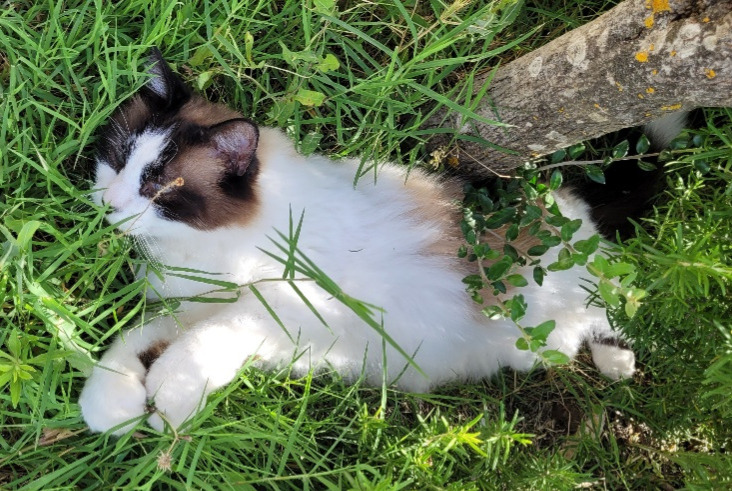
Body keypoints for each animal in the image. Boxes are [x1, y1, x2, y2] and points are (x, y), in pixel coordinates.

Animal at [77, 49, 644, 434]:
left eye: (161, 187)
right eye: (118, 158)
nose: (110, 203)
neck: (217, 247)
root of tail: (563, 201)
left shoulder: (298, 306)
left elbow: (214, 336)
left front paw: (171, 394)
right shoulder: (194, 301)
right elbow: (139, 338)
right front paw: (115, 404)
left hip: (556, 313)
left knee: (615, 303)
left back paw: (618, 363)